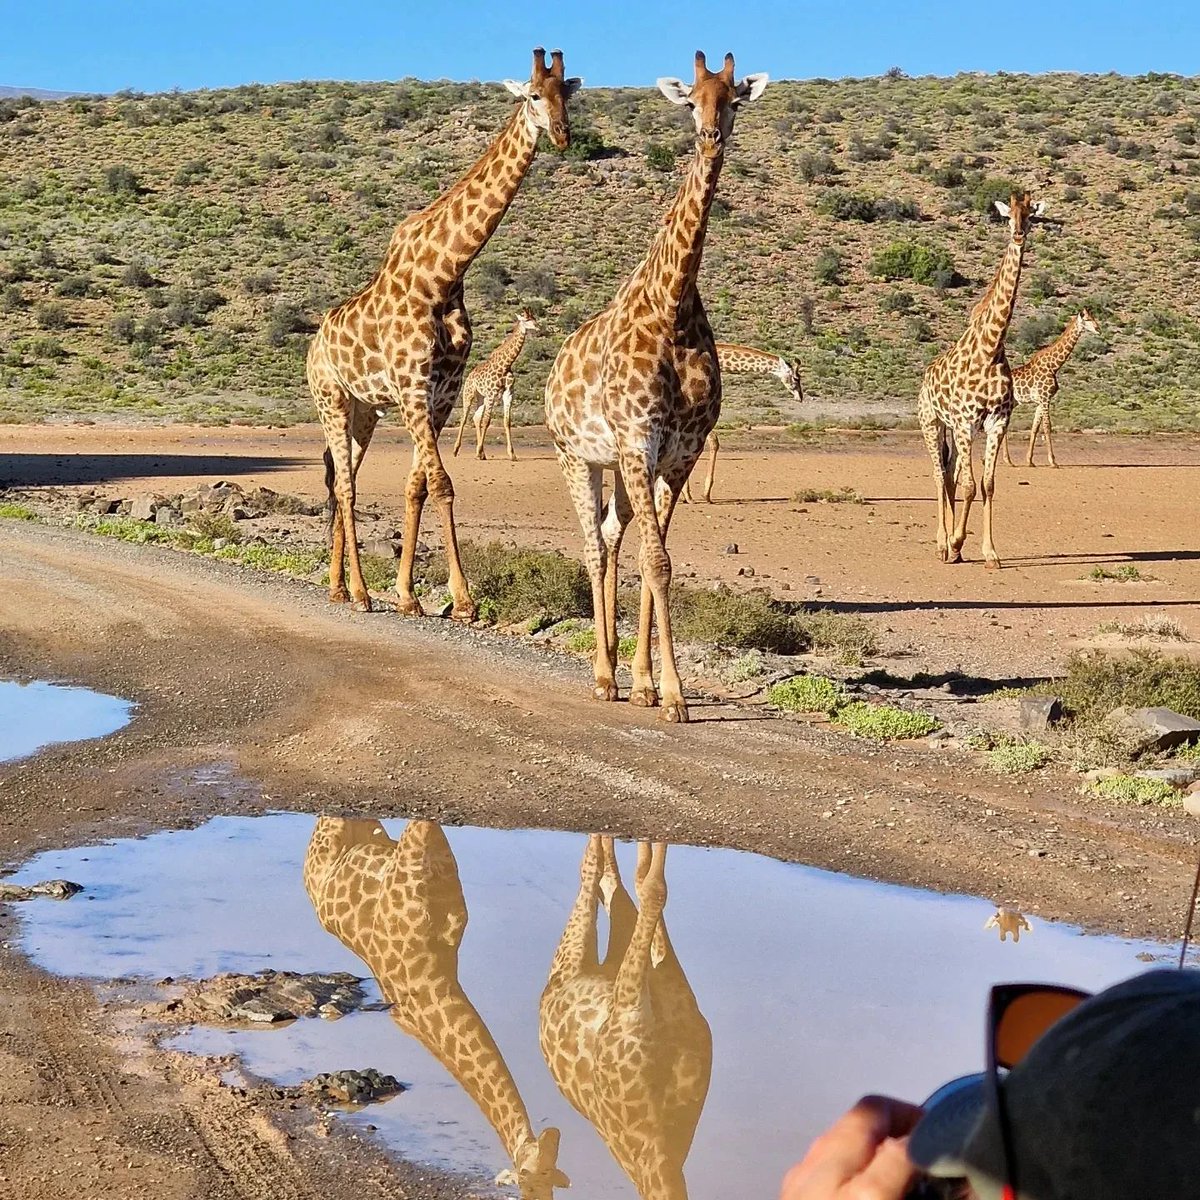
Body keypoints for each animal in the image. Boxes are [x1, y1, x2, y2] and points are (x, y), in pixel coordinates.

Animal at [302, 816, 569, 1199]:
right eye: (530, 1177)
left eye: (553, 1178)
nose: (553, 1135)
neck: (432, 978)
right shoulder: (416, 843)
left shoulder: (453, 913)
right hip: (331, 833)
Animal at [451, 310, 540, 461]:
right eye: (526, 319)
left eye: (534, 317)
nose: (538, 327)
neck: (506, 365)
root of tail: (469, 376)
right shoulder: (492, 393)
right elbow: (487, 421)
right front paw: (479, 451)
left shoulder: (509, 393)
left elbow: (507, 421)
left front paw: (512, 454)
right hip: (469, 394)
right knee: (464, 418)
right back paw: (456, 450)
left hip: (481, 397)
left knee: (476, 417)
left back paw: (481, 453)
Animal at [544, 52, 769, 722]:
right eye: (691, 100)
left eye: (733, 100)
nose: (711, 136)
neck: (671, 305)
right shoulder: (639, 442)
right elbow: (657, 561)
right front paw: (669, 694)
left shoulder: (677, 453)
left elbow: (657, 561)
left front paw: (651, 684)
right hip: (578, 456)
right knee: (593, 547)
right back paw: (600, 675)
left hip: (615, 462)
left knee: (613, 538)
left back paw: (619, 670)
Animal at [917, 191, 1045, 569]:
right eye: (1008, 215)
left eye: (1031, 215)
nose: (1018, 233)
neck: (991, 347)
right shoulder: (964, 421)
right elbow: (970, 486)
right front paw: (956, 541)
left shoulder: (995, 423)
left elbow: (987, 484)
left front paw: (989, 553)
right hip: (932, 422)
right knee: (938, 474)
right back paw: (942, 545)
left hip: (958, 431)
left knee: (949, 473)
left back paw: (952, 548)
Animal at [1002, 310, 1098, 468]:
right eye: (1088, 319)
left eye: (1094, 317)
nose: (1098, 328)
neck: (1053, 366)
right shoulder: (1045, 397)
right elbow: (1047, 427)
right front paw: (1053, 461)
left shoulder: (1041, 401)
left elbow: (1035, 428)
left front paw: (1030, 461)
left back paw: (1007, 461)